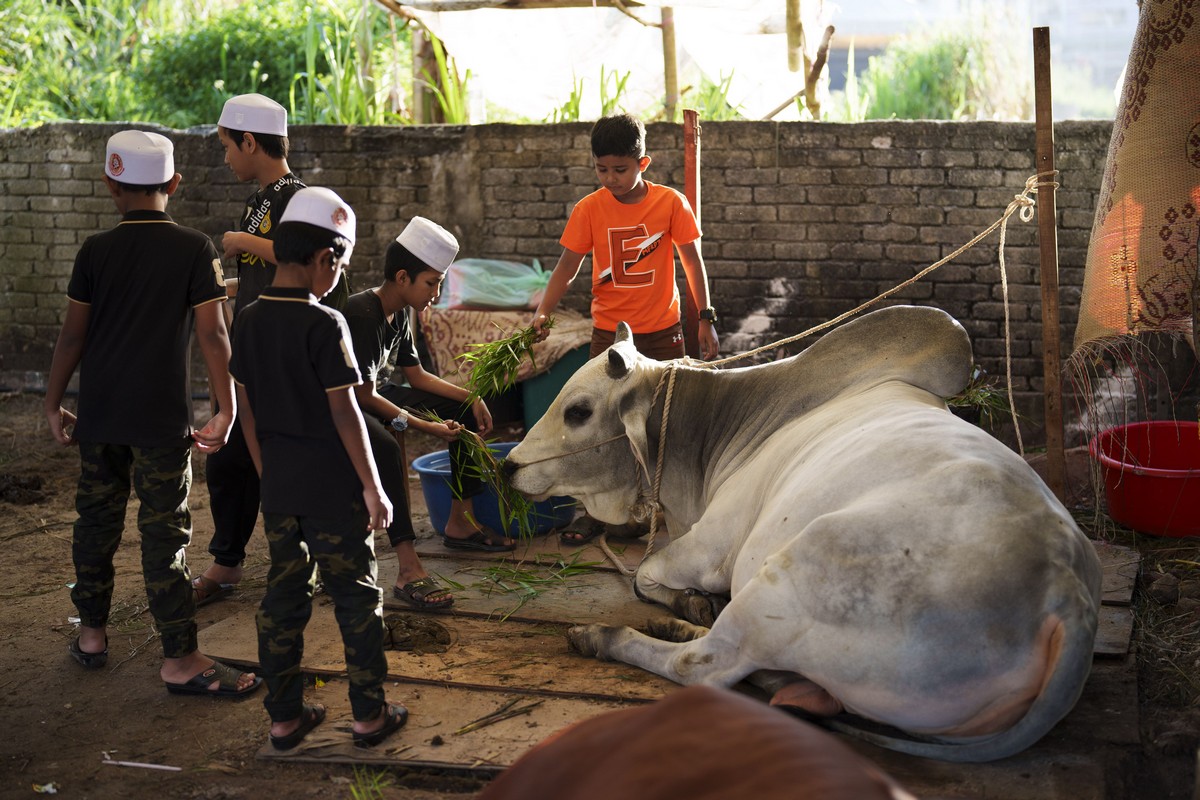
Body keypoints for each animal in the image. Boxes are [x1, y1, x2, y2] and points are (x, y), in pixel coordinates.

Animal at [501, 307, 1099, 762]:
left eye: (577, 411)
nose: (509, 466)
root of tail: (1066, 592)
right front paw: (691, 605)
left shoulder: (711, 546)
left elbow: (644, 575)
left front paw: (683, 600)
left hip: (788, 574)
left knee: (705, 667)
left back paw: (607, 637)